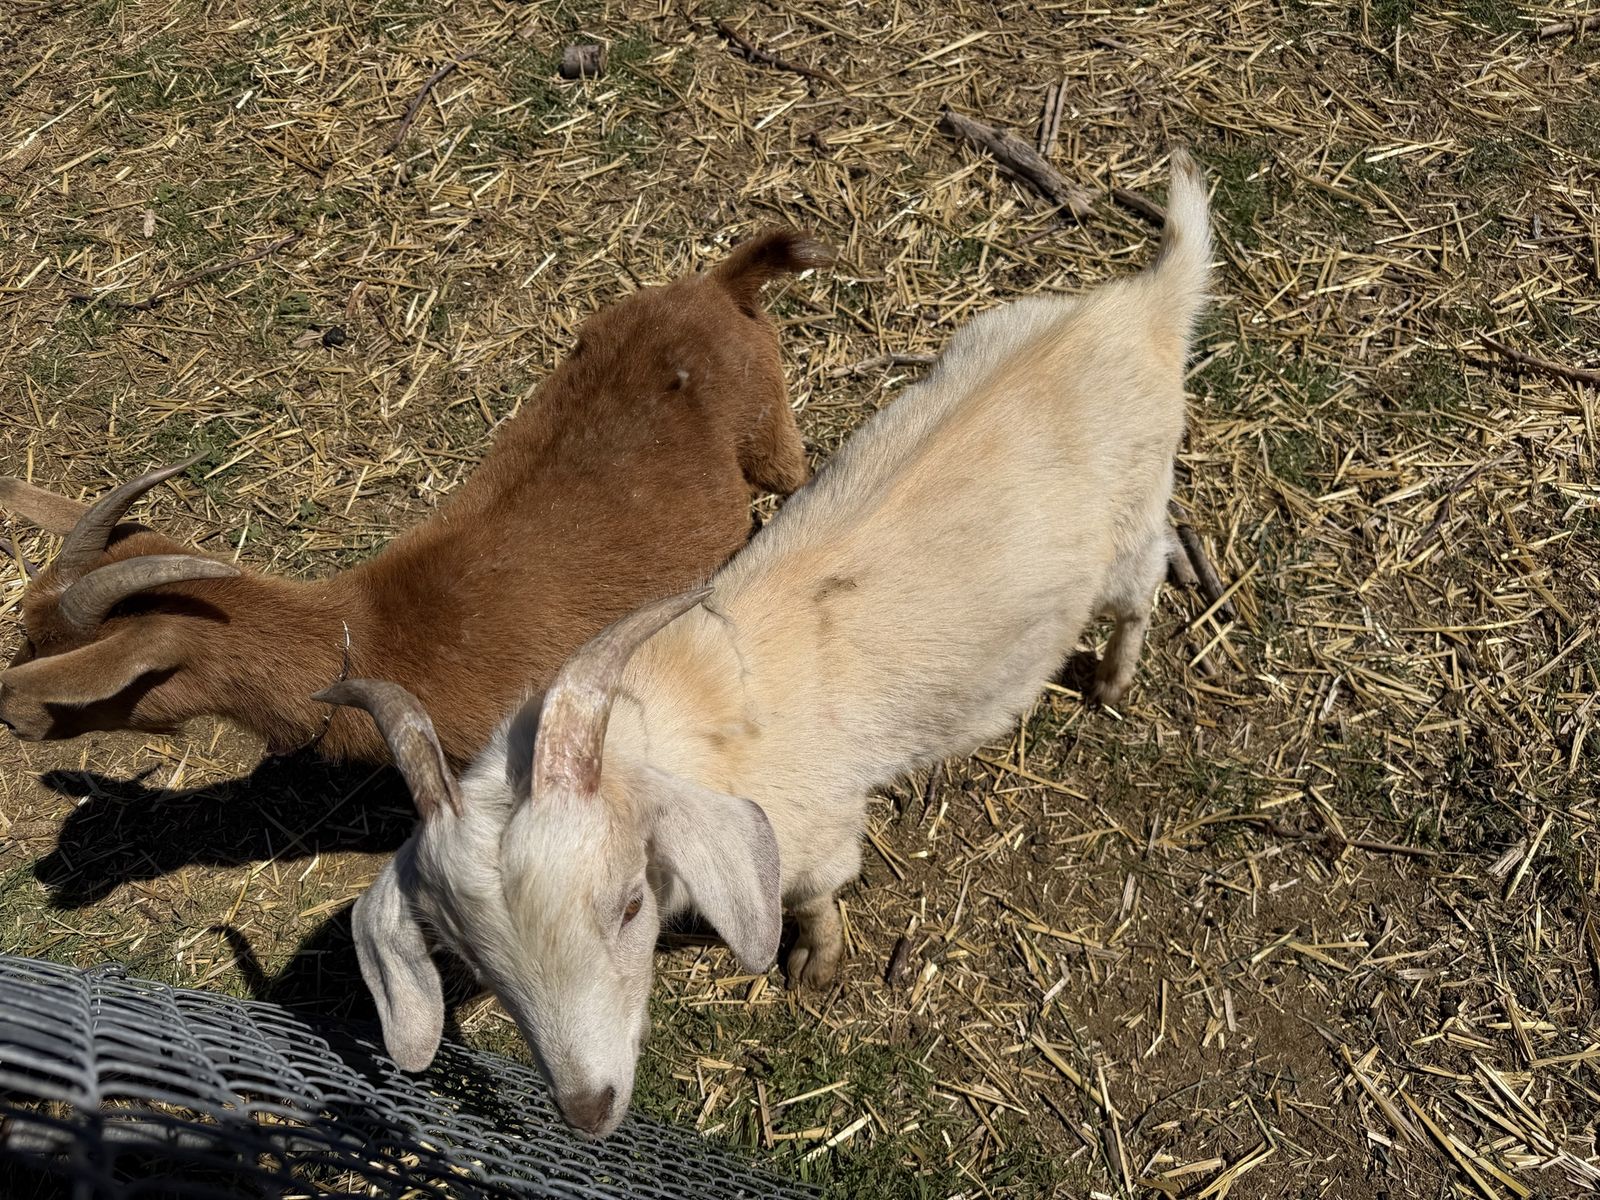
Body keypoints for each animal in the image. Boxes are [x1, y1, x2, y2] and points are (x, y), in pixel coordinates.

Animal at [323, 151, 1212, 1138]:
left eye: (629, 904)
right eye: (472, 956)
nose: (589, 1109)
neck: (682, 725)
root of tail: (1143, 304)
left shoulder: (814, 833)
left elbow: (815, 894)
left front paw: (813, 965)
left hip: (1132, 521)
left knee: (1146, 580)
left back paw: (1113, 681)